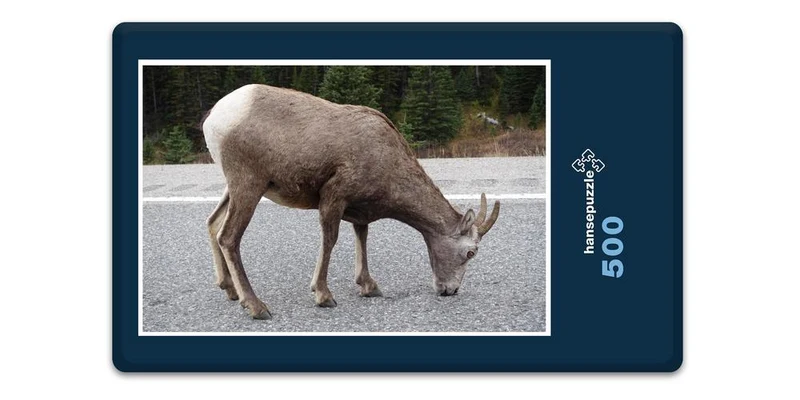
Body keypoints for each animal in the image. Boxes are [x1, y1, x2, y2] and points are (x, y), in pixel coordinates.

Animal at [202, 84, 500, 319]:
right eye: (471, 252)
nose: (450, 290)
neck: (388, 162)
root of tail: (214, 118)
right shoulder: (334, 196)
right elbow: (330, 241)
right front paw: (323, 296)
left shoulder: (359, 210)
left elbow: (362, 237)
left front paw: (369, 286)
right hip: (248, 184)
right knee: (229, 237)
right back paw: (256, 307)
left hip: (234, 188)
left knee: (213, 223)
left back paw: (230, 290)